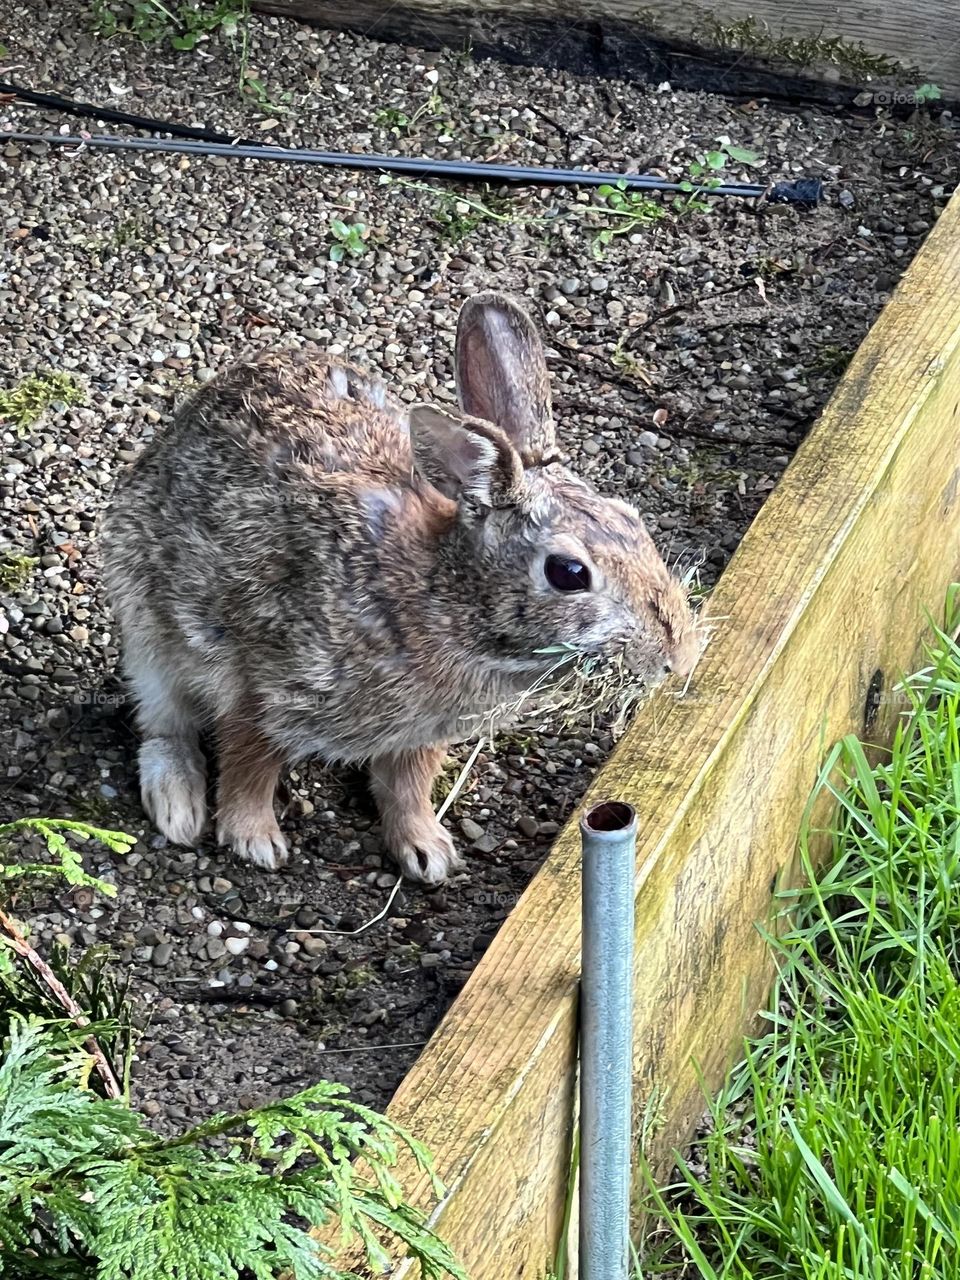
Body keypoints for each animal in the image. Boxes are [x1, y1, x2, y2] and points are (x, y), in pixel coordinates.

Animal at [102, 292, 699, 885]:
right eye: (569, 573)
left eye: (635, 521)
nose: (680, 658)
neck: (444, 600)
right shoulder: (263, 681)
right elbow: (250, 762)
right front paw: (253, 839)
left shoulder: (421, 735)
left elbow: (407, 786)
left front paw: (426, 851)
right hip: (145, 624)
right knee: (163, 720)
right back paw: (178, 805)